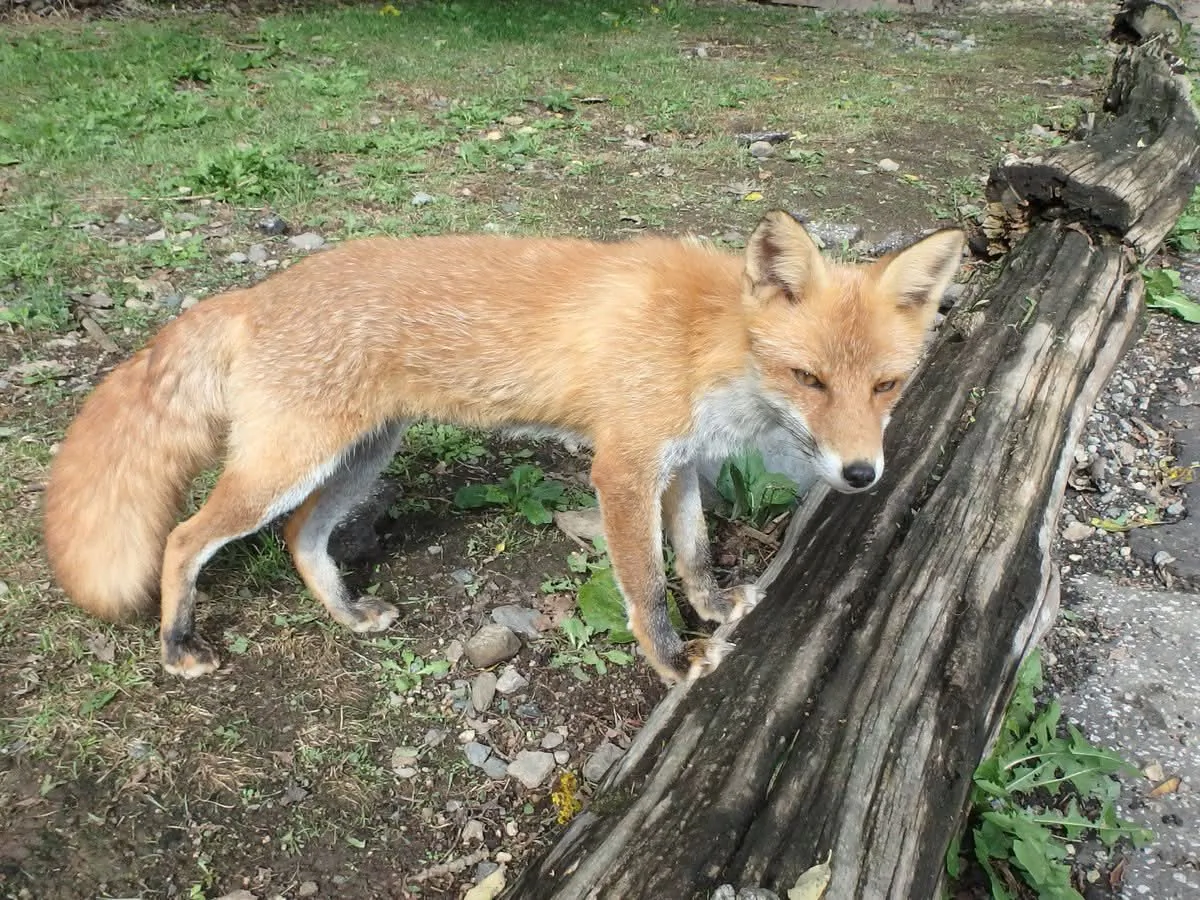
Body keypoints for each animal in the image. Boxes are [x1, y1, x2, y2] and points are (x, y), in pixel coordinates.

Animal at [43, 210, 964, 684]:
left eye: (886, 386)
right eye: (809, 378)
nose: (861, 473)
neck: (709, 339)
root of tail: (256, 293)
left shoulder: (676, 463)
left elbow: (696, 555)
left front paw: (714, 608)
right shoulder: (622, 467)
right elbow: (646, 588)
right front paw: (673, 663)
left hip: (357, 457)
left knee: (303, 536)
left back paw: (348, 613)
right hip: (284, 465)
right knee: (182, 538)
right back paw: (176, 646)